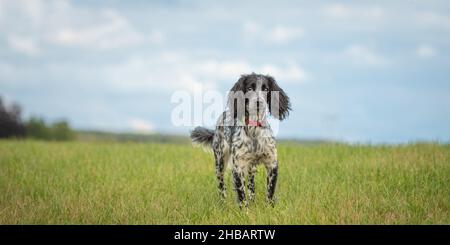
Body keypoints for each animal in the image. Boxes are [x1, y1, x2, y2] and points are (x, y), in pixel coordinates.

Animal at [190, 72, 292, 207]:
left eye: (266, 89)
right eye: (249, 88)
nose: (259, 102)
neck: (254, 130)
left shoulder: (272, 163)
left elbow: (270, 192)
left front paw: (269, 208)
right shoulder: (238, 167)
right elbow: (242, 196)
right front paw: (245, 210)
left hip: (251, 168)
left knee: (251, 186)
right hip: (220, 161)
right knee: (222, 186)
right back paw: (223, 204)